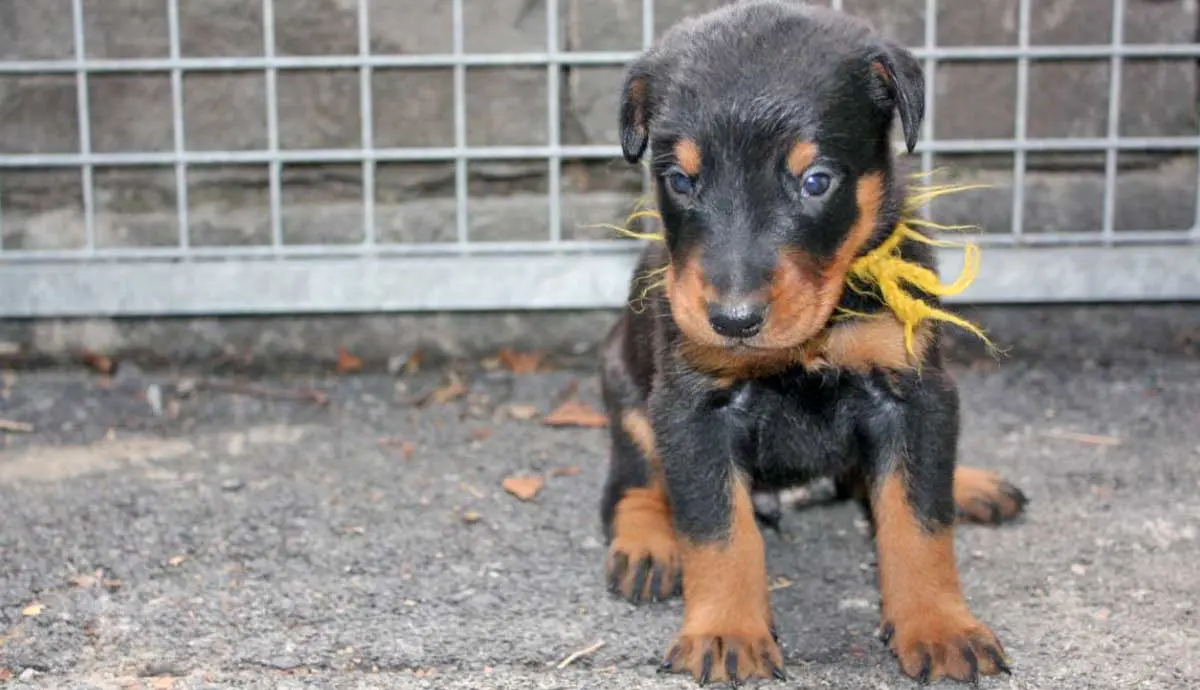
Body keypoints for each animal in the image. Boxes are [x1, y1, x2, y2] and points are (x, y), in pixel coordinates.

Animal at [595, 0, 1027, 686]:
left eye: (817, 181)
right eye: (681, 181)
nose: (732, 320)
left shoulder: (915, 392)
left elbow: (918, 519)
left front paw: (939, 626)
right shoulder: (690, 408)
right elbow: (718, 528)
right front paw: (726, 631)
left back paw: (970, 484)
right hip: (625, 387)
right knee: (630, 484)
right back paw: (646, 547)